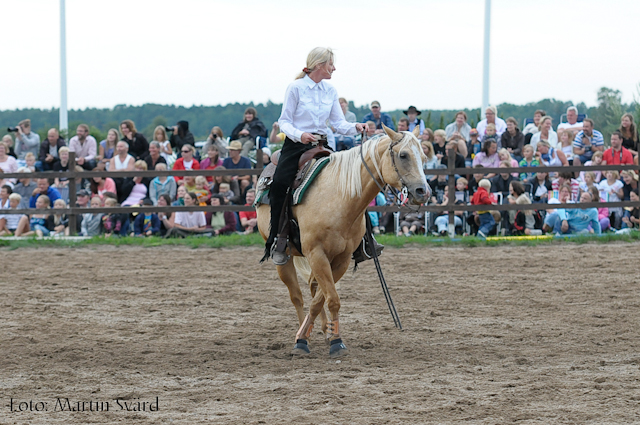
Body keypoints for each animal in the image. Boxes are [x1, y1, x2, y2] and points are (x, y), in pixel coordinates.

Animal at [256, 124, 430, 356]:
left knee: (312, 287)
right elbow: (328, 298)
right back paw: (302, 333)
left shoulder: (342, 259)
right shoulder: (317, 254)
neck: (340, 197)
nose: (423, 192)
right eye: (403, 155)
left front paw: (334, 339)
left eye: (424, 156)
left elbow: (325, 300)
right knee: (296, 296)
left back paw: (320, 329)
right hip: (285, 256)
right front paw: (304, 341)